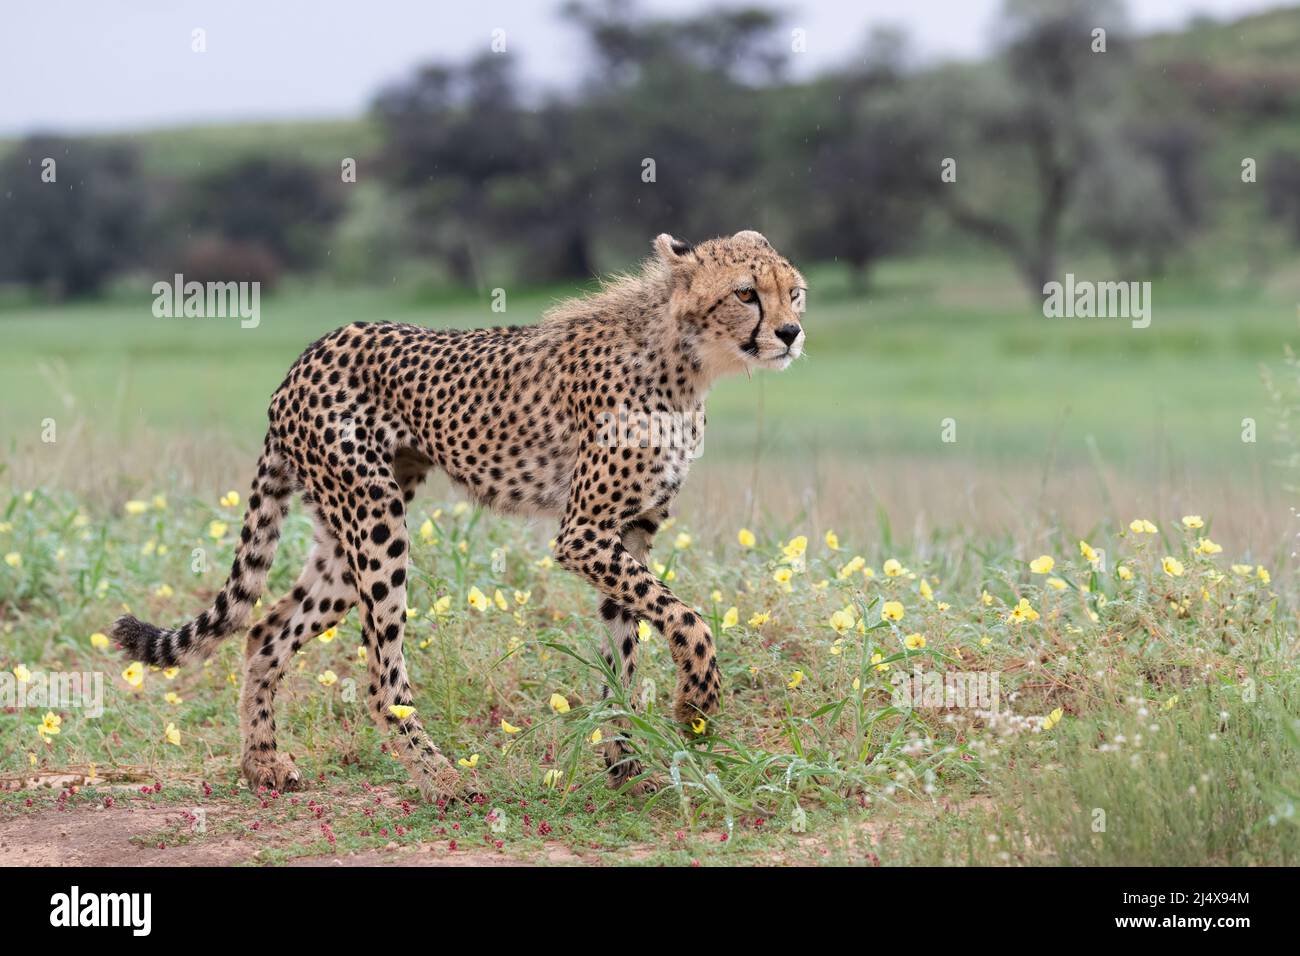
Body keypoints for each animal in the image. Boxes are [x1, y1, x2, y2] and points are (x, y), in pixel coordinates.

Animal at [111, 231, 806, 801]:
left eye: (794, 292)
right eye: (747, 293)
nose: (793, 333)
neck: (685, 360)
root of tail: (305, 357)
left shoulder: (628, 533)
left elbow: (623, 657)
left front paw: (625, 767)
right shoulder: (583, 534)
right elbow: (690, 619)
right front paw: (697, 705)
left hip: (344, 536)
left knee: (265, 630)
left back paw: (262, 764)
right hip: (377, 521)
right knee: (378, 673)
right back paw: (440, 776)